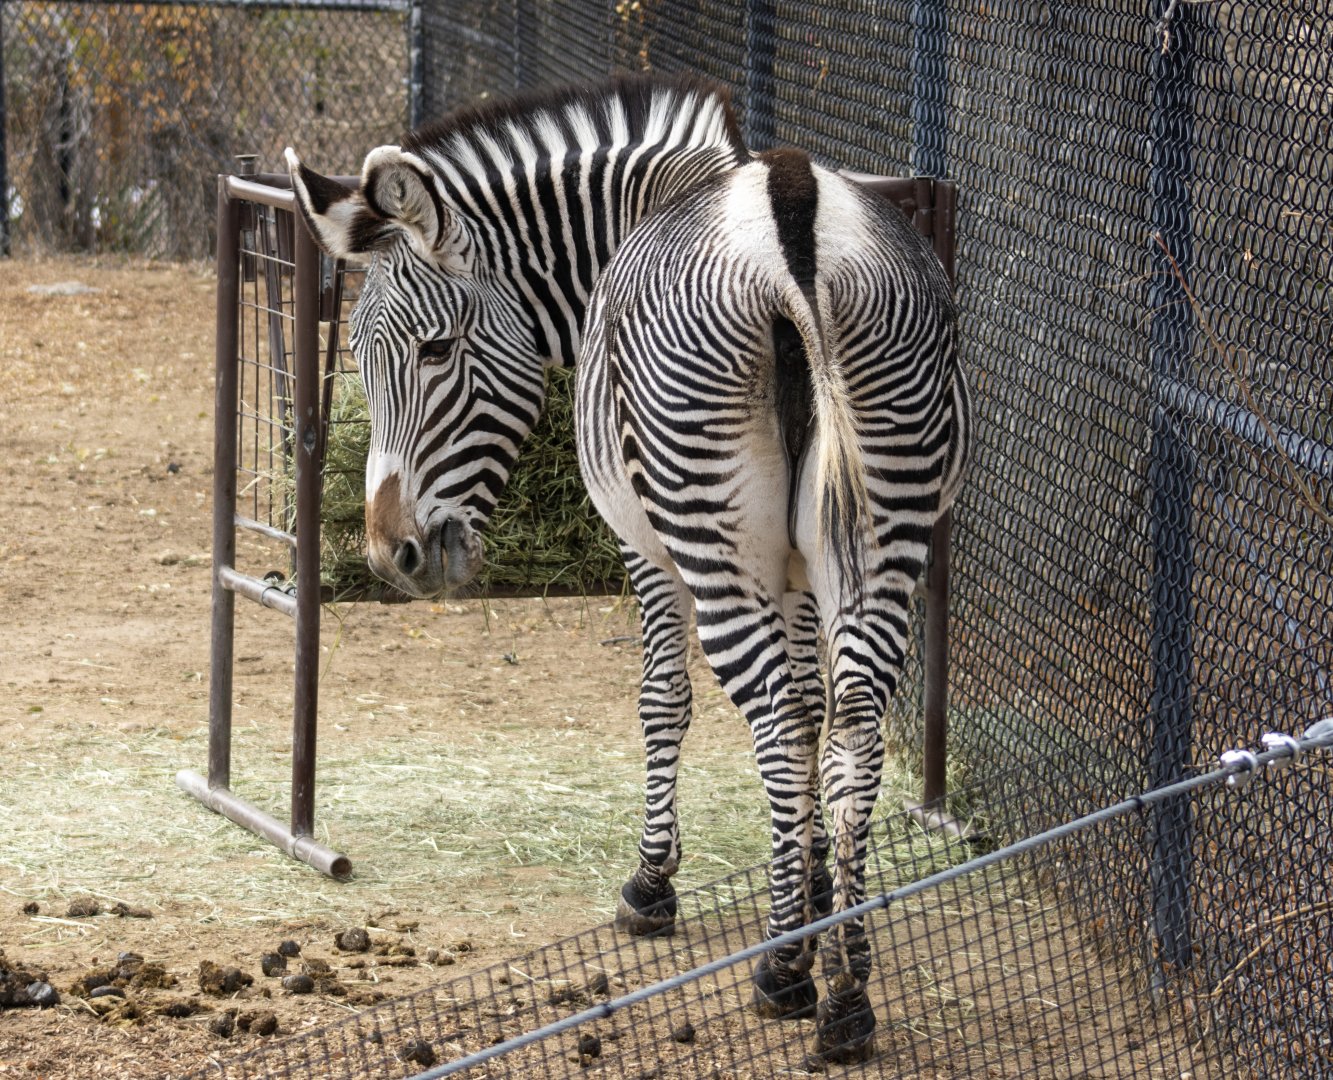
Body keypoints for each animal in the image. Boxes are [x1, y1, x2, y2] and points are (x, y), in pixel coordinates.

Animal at [287, 73, 970, 1064]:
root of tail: (790, 211)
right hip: (887, 516)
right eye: (356, 359)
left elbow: (665, 699)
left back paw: (785, 971)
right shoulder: (800, 568)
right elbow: (813, 705)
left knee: (768, 718)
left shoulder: (640, 541)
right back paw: (845, 990)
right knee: (850, 727)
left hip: (702, 525)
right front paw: (805, 879)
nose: (392, 556)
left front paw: (655, 882)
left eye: (436, 350)